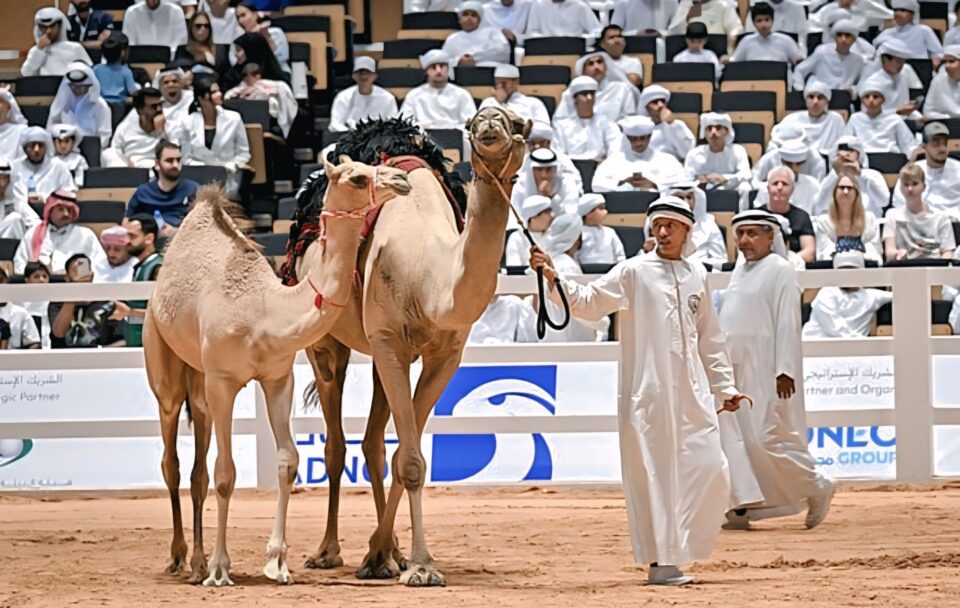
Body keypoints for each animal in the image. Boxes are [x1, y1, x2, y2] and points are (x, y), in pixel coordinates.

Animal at [142, 158, 411, 587]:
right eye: (356, 177)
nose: (402, 180)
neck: (263, 312)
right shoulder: (223, 381)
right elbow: (226, 472)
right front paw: (221, 569)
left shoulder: (278, 378)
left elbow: (288, 461)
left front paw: (277, 563)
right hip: (163, 361)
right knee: (172, 458)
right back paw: (181, 558)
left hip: (199, 380)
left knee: (197, 462)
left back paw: (197, 561)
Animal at [290, 109, 529, 586]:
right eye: (476, 122)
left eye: (517, 122)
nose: (490, 121)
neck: (429, 274)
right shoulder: (388, 343)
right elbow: (413, 460)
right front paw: (419, 566)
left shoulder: (443, 357)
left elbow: (407, 453)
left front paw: (388, 555)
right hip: (327, 343)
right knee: (335, 444)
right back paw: (326, 551)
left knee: (373, 445)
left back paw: (387, 553)